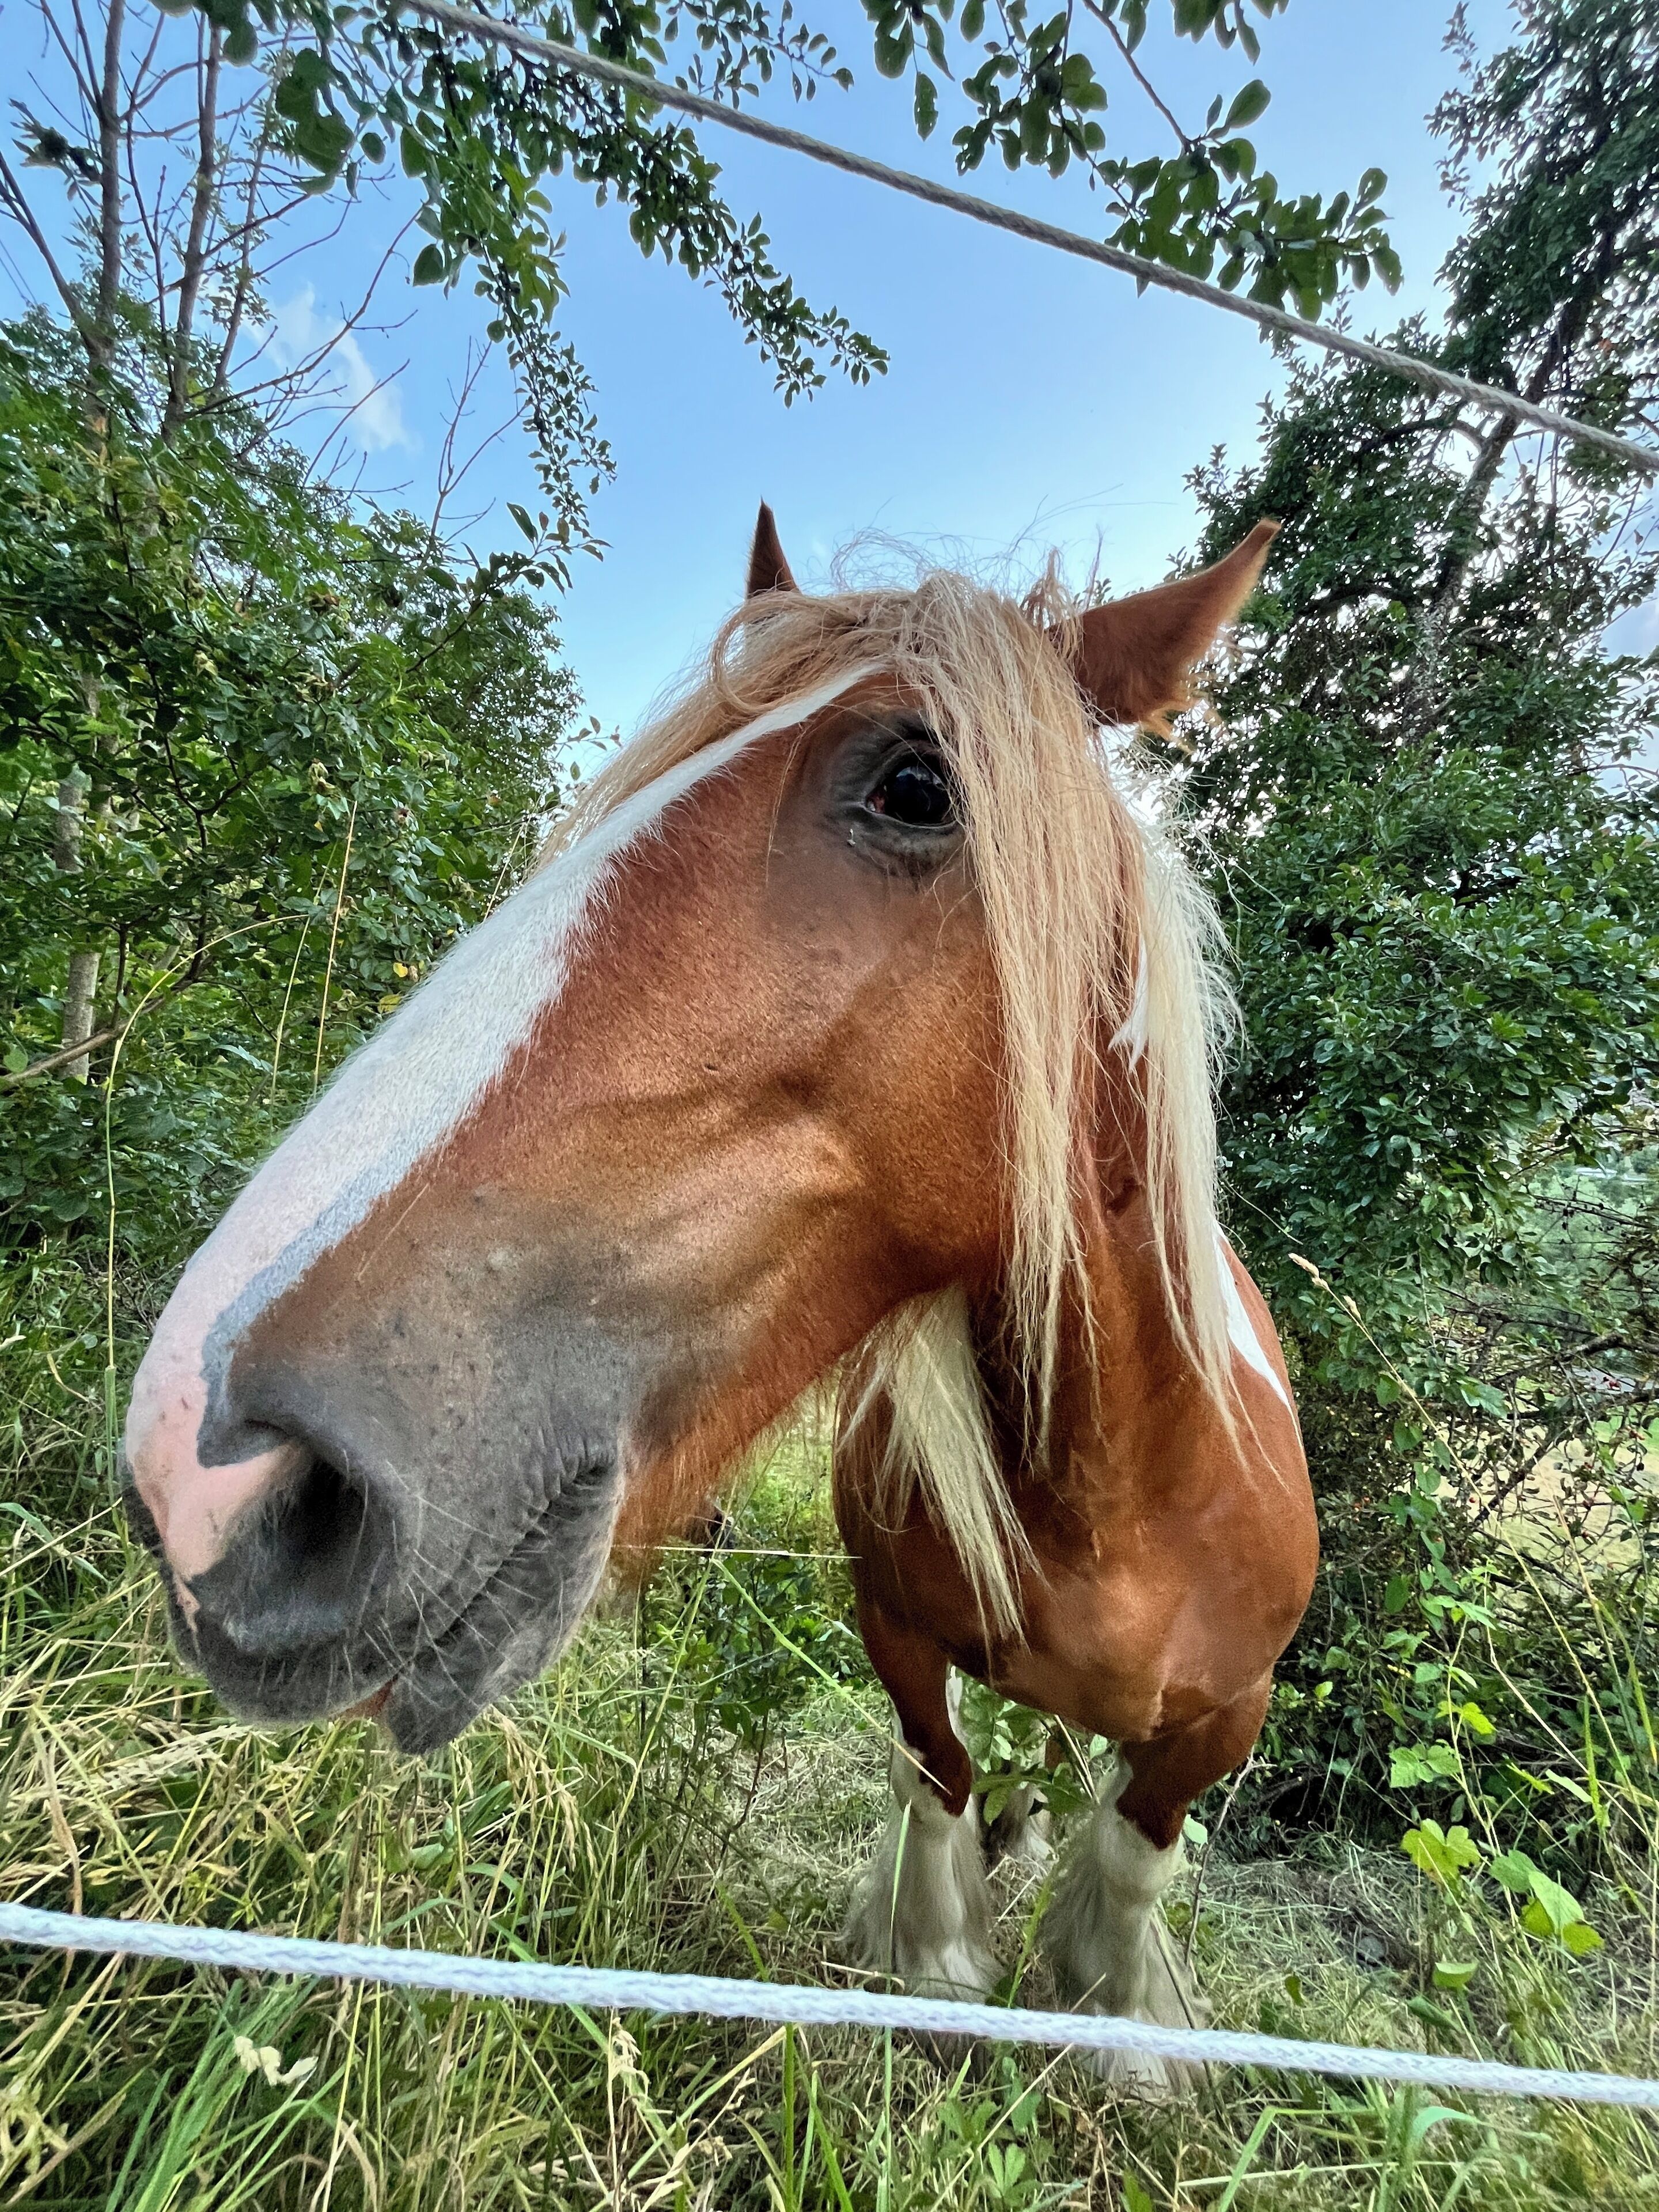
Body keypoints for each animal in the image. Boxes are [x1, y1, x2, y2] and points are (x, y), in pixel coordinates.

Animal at [125, 504, 1318, 2093]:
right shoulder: (897, 1629)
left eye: (917, 785)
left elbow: (1132, 1857)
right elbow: (937, 1773)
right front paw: (935, 1955)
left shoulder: (1223, 1720)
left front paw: (1118, 2022)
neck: (1128, 1491)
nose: (204, 1464)